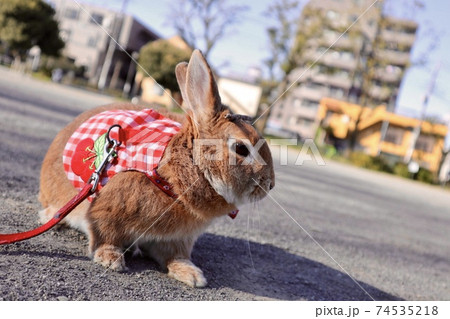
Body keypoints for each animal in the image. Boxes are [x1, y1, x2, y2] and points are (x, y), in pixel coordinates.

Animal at [38, 49, 276, 288]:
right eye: (241, 148)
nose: (270, 184)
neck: (171, 180)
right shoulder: (105, 213)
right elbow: (106, 236)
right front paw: (110, 259)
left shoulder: (176, 239)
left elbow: (175, 256)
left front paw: (192, 275)